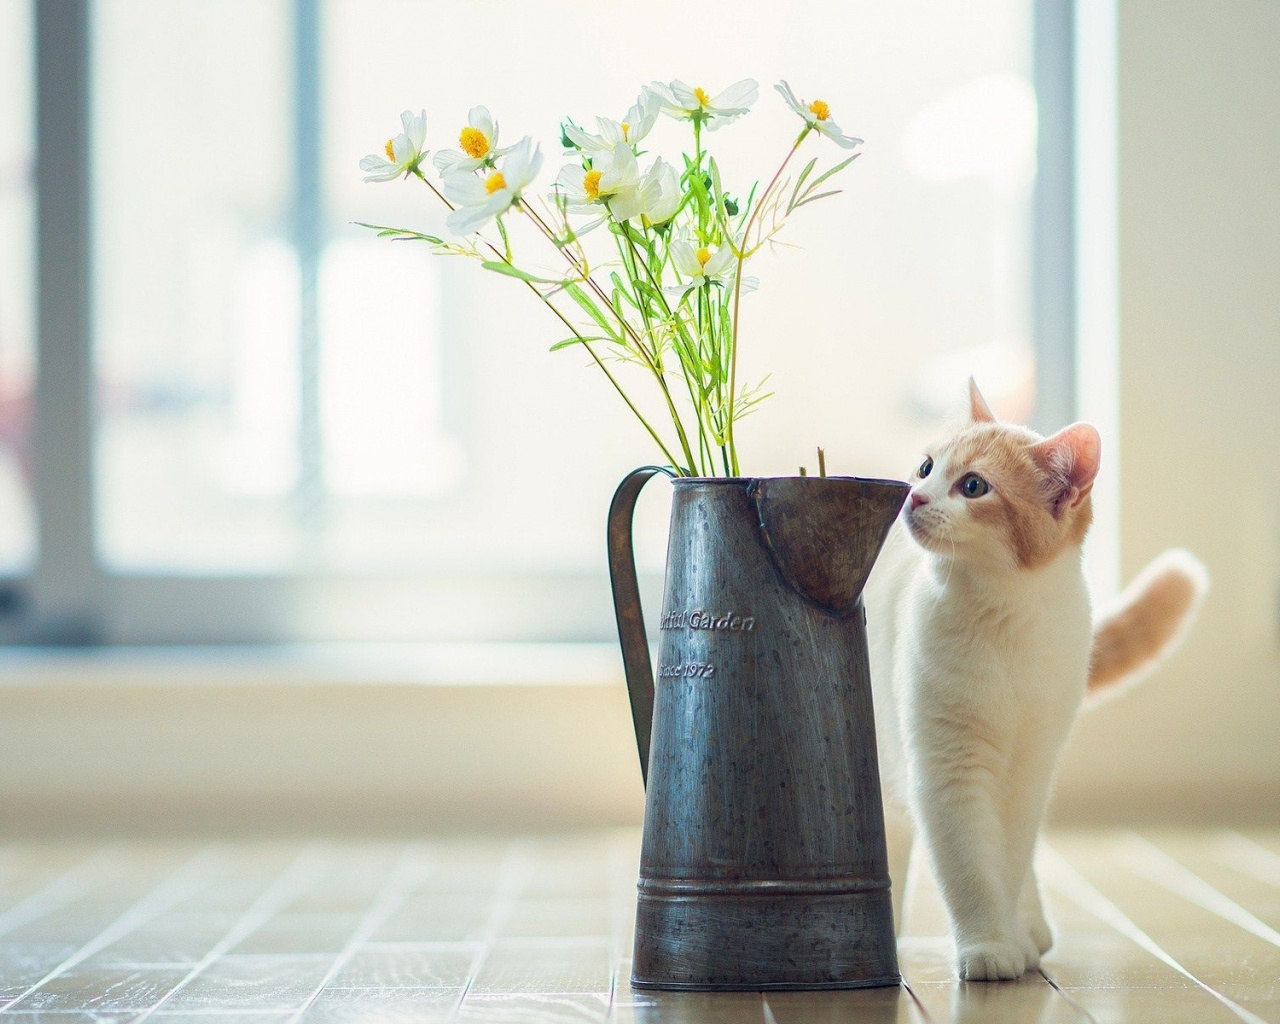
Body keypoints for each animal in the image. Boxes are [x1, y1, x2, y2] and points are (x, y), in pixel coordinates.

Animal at [865, 378, 1203, 977]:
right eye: (926, 467)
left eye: (973, 486)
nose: (914, 496)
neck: (1004, 623)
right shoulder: (947, 770)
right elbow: (971, 866)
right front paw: (990, 945)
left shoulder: (1029, 769)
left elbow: (1008, 858)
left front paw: (1009, 937)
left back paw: (1030, 925)